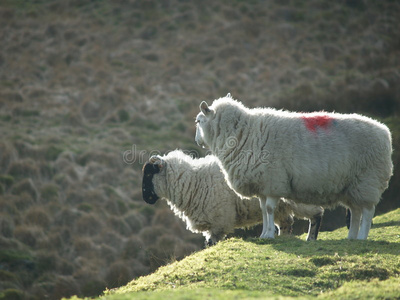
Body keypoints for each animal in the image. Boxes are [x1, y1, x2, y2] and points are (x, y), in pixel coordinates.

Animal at [142, 150, 324, 246]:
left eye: (149, 173)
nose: (145, 198)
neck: (194, 181)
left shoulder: (219, 220)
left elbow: (211, 243)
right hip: (281, 207)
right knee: (286, 223)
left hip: (302, 197)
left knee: (316, 213)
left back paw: (311, 238)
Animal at [195, 95, 392, 240]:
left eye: (198, 121)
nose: (197, 141)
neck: (244, 133)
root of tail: (384, 131)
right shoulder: (262, 183)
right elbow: (263, 210)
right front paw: (263, 234)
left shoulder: (273, 181)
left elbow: (269, 209)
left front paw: (269, 235)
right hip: (352, 186)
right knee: (355, 211)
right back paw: (351, 238)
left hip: (368, 179)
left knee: (368, 211)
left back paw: (362, 237)